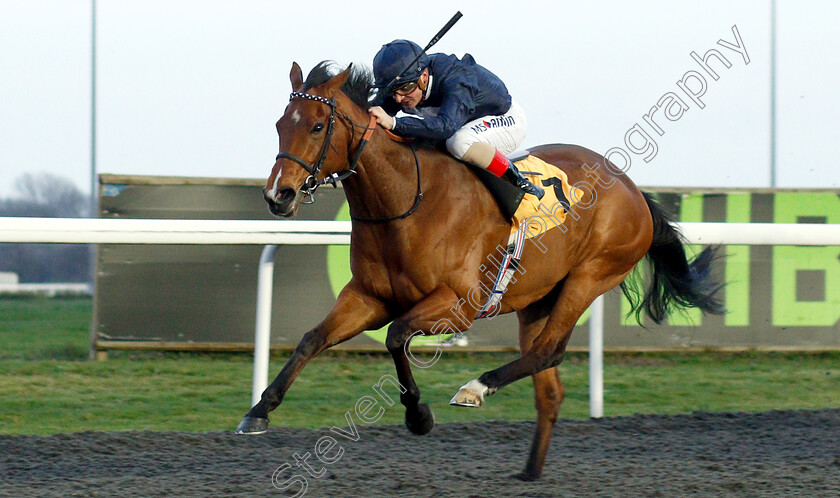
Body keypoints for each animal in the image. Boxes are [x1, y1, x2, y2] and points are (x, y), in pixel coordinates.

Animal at [236, 60, 720, 480]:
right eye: (280, 124)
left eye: (318, 126)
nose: (278, 195)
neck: (406, 199)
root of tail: (633, 188)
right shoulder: (368, 297)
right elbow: (311, 339)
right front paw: (258, 411)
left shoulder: (459, 306)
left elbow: (396, 337)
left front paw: (418, 415)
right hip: (537, 299)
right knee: (549, 387)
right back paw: (529, 473)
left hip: (590, 276)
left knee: (548, 352)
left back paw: (475, 388)